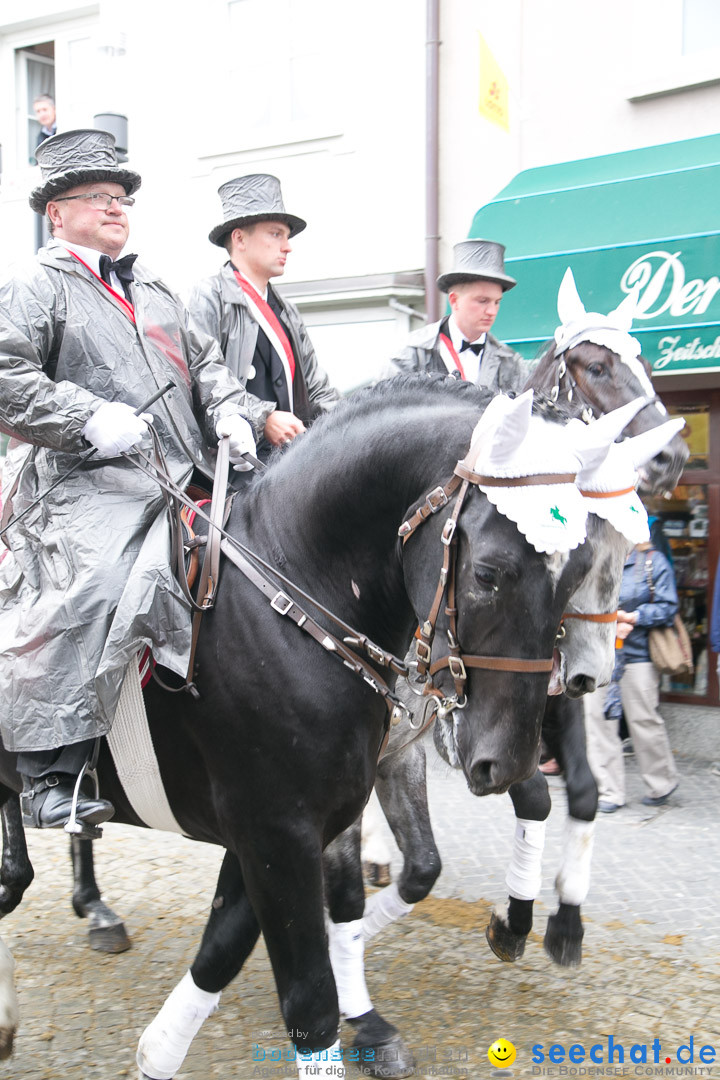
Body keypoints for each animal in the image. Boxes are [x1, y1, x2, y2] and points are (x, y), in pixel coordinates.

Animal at [0, 375, 604, 1067]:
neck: (293, 595)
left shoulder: (296, 821)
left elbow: (227, 950)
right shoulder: (276, 831)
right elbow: (310, 996)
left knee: (17, 873)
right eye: (488, 573)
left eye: (580, 571)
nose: (505, 762)